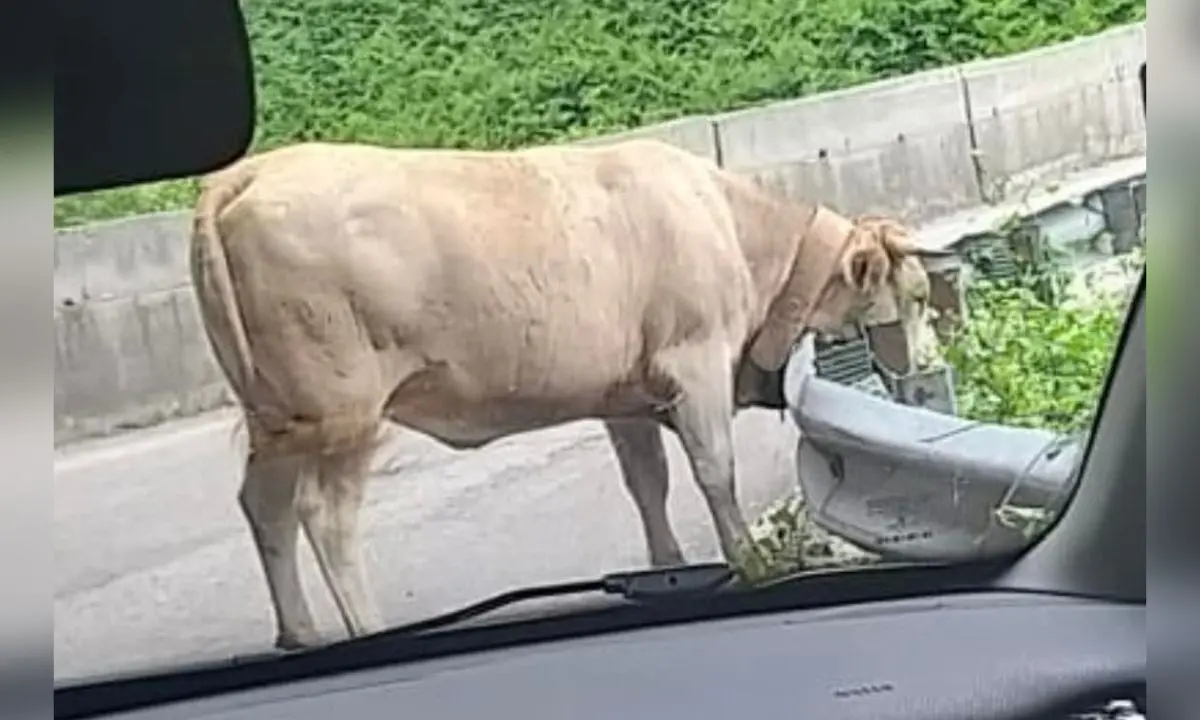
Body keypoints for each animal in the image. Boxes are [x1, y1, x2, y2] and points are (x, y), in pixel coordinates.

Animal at [189, 138, 936, 648]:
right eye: (913, 300)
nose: (928, 376)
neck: (738, 233)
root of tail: (247, 173)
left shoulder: (625, 396)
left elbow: (648, 482)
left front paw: (668, 568)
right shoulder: (694, 362)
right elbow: (713, 471)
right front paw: (750, 561)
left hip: (279, 419)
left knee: (265, 506)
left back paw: (298, 632)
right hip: (345, 413)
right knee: (324, 515)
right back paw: (367, 627)